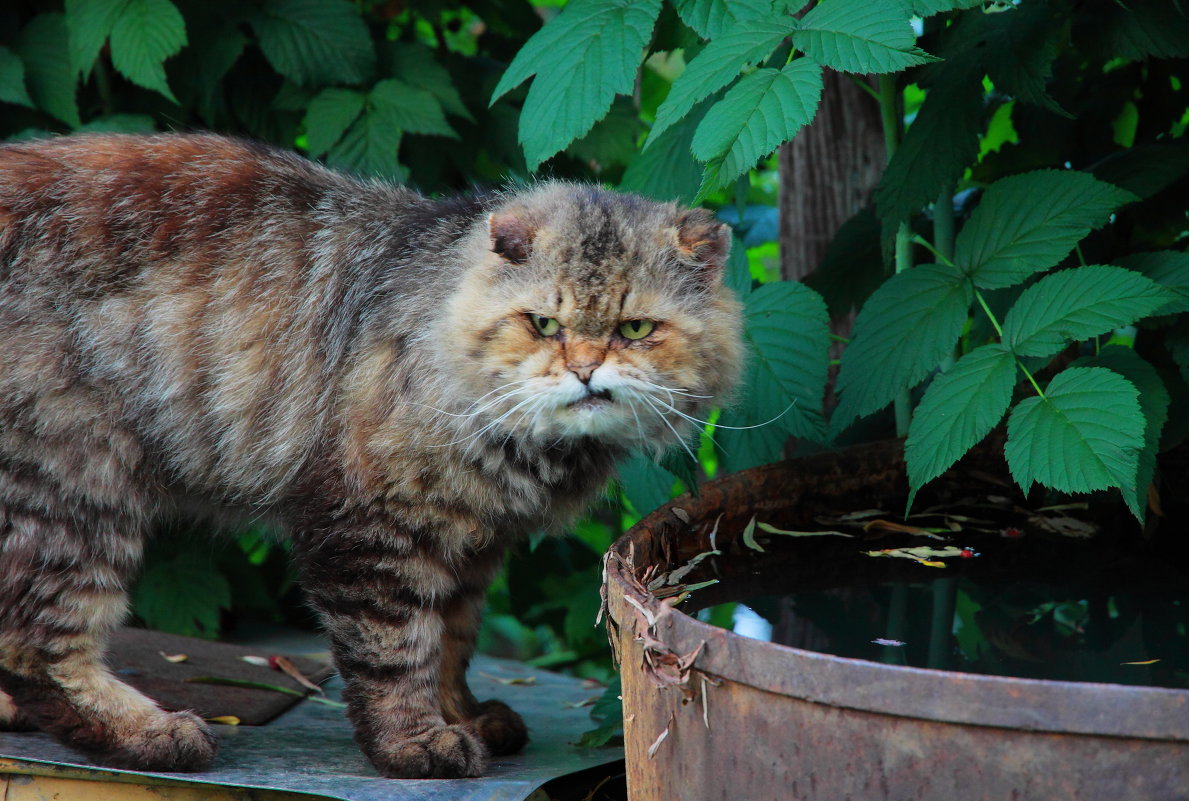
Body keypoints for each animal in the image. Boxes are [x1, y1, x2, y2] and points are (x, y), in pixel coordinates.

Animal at [0, 134, 741, 774]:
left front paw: (463, 716)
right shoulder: (373, 528)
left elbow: (450, 644)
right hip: (79, 485)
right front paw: (416, 742)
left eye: (634, 329)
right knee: (39, 643)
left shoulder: (471, 544)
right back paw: (148, 732)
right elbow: (396, 650)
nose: (586, 372)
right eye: (544, 325)